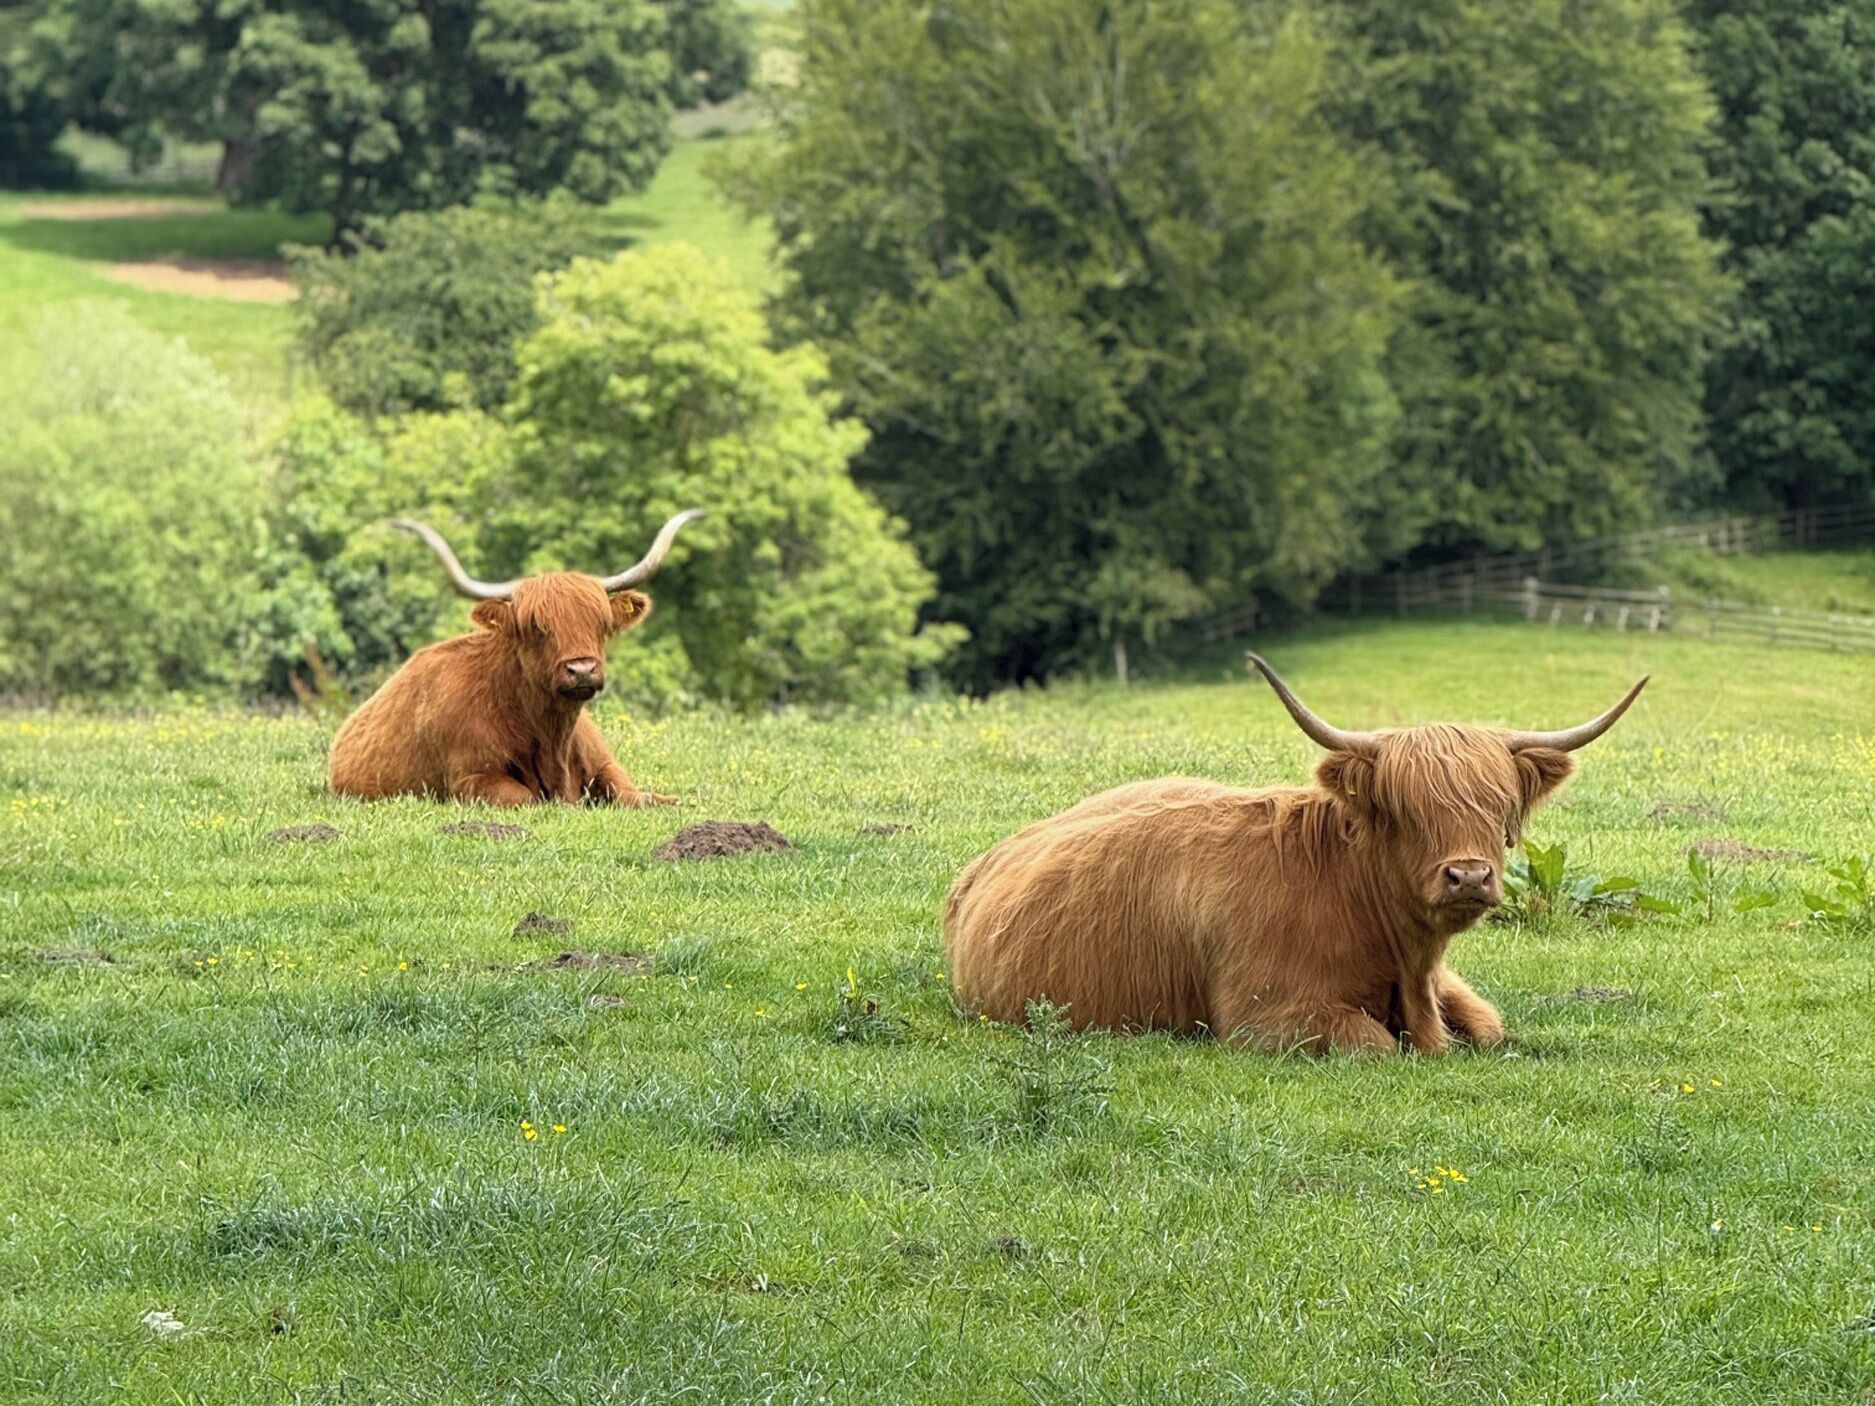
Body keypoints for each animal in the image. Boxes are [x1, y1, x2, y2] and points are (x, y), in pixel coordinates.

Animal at [329, 511, 703, 807]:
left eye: (601, 622)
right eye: (536, 626)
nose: (582, 670)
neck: (550, 735)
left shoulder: (604, 764)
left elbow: (633, 795)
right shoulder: (472, 778)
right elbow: (529, 798)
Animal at [943, 655, 1648, 1055]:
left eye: (1499, 807)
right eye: (1405, 811)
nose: (1468, 875)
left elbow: (1487, 1025)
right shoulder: (1264, 1018)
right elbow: (1373, 1044)